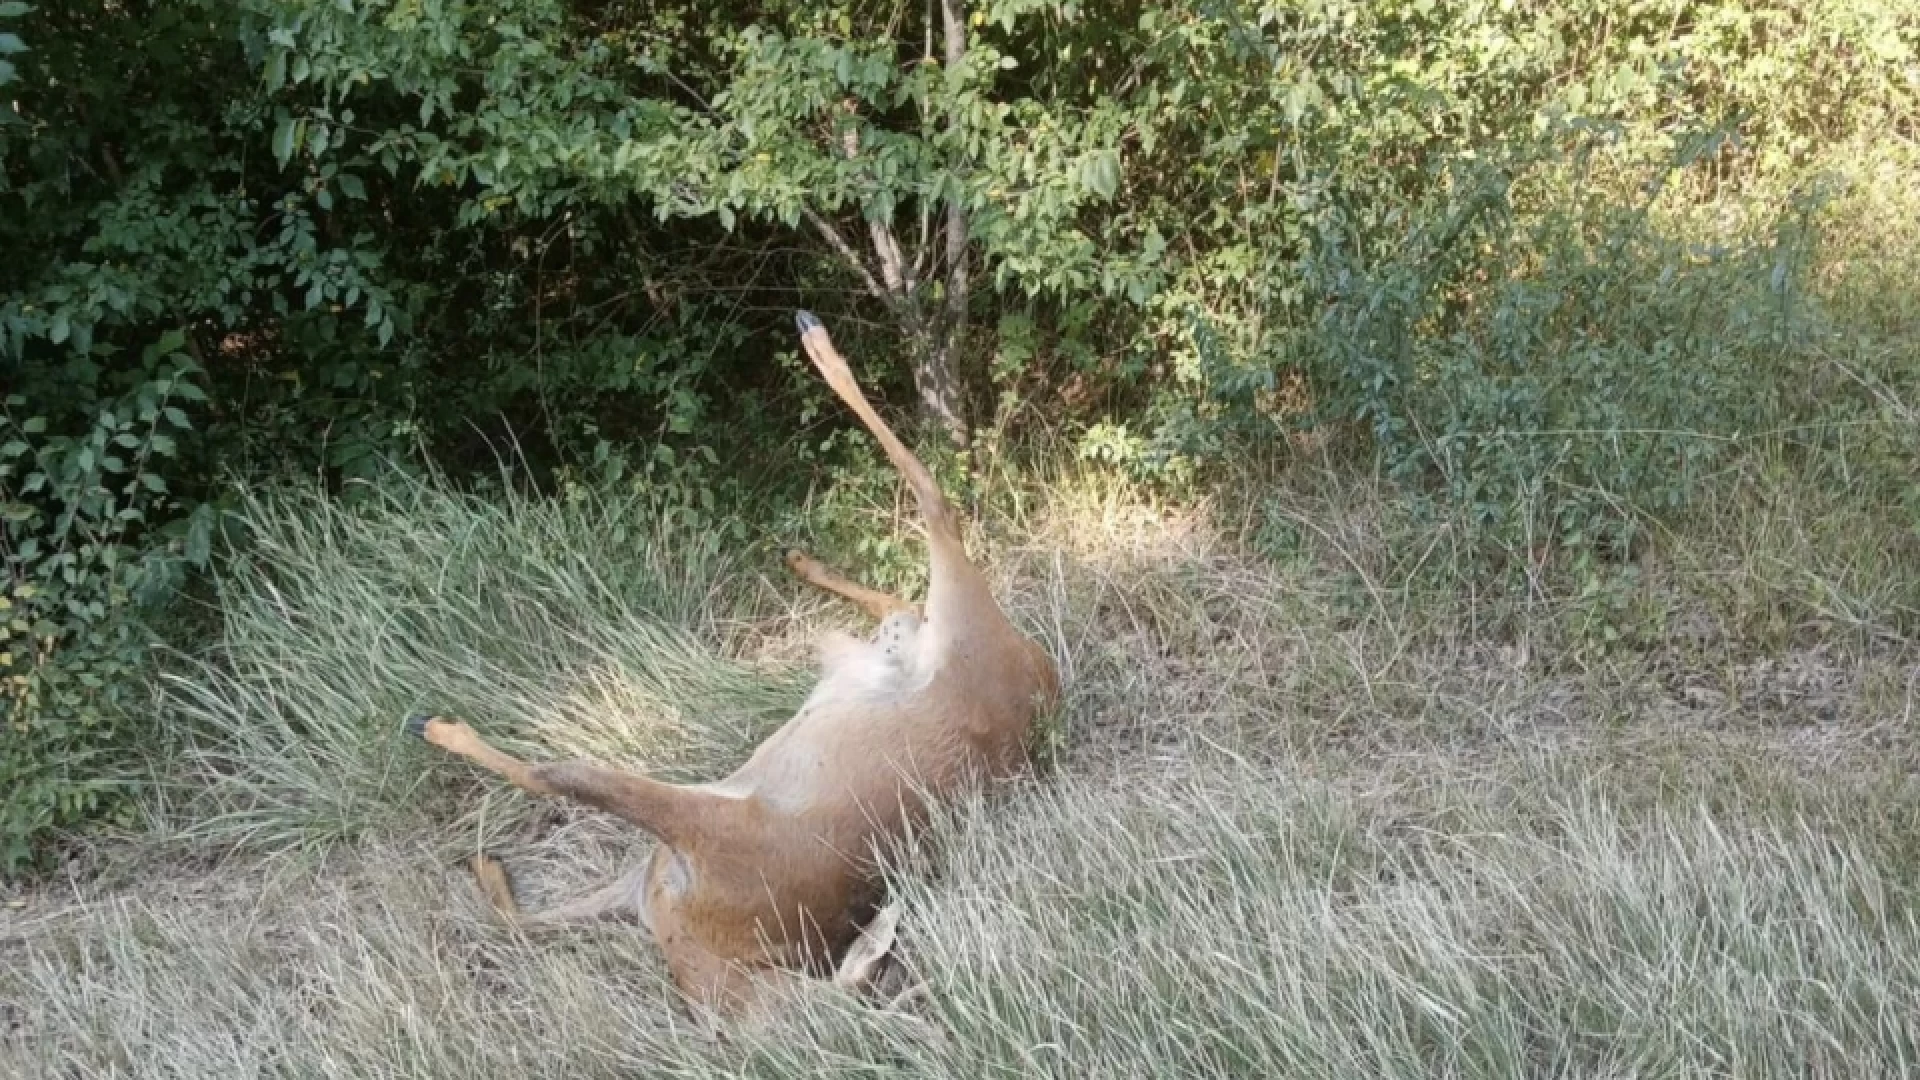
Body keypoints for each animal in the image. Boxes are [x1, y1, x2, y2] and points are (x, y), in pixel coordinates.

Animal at [408, 309, 1067, 1006]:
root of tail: (1039, 668)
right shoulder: (641, 881)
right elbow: (521, 918)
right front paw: (487, 867)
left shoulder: (699, 834)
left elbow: (556, 778)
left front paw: (446, 736)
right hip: (944, 622)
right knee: (905, 589)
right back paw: (802, 555)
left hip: (962, 618)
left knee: (938, 504)